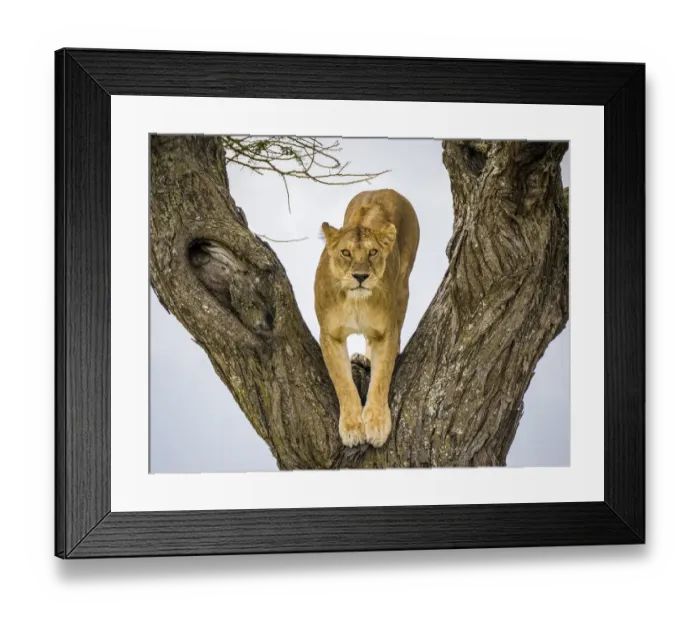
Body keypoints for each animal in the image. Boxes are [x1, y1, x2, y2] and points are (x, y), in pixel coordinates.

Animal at [314, 189, 420, 448]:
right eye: (345, 252)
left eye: (373, 252)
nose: (361, 276)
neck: (356, 302)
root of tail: (384, 190)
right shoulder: (330, 334)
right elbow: (343, 382)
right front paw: (352, 428)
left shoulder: (386, 332)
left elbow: (381, 378)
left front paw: (377, 424)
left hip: (403, 287)